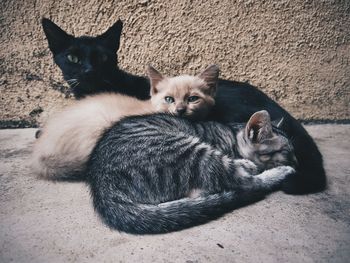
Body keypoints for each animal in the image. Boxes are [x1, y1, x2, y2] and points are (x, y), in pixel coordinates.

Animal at [87, 110, 296, 234]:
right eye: (287, 152)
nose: (298, 161)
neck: (232, 137)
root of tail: (102, 185)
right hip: (190, 151)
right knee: (245, 183)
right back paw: (275, 172)